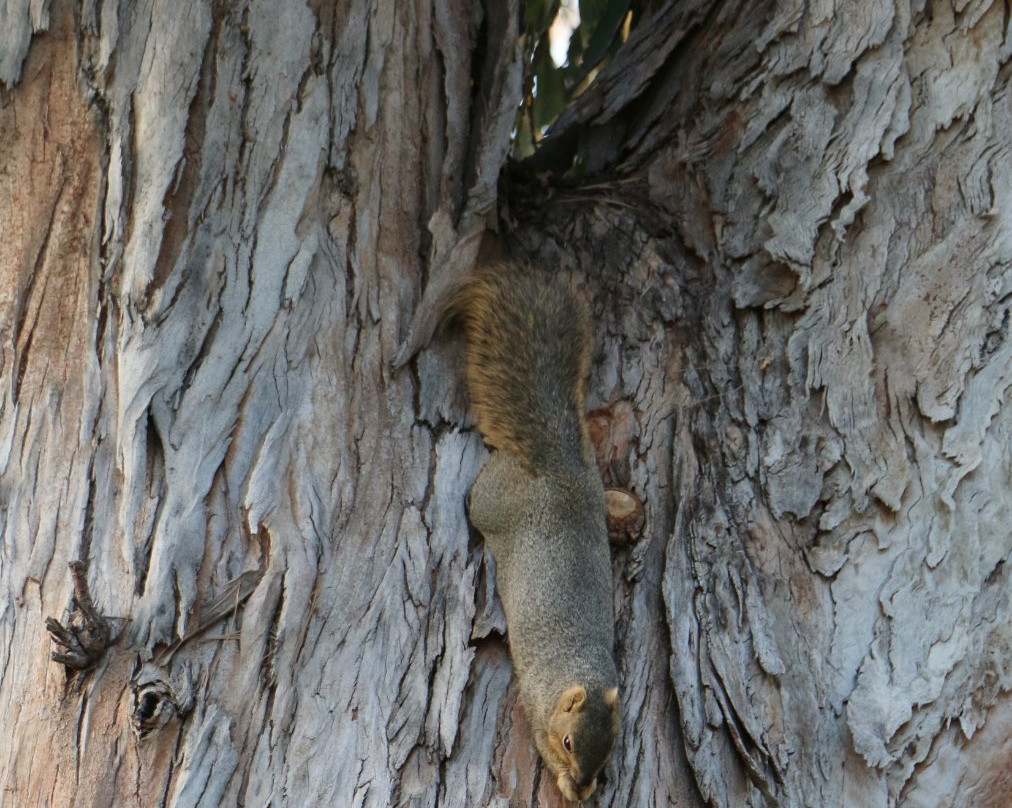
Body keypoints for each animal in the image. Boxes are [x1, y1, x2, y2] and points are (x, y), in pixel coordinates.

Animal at [449, 263, 619, 801]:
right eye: (567, 742)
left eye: (608, 750)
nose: (583, 786)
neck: (579, 663)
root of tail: (554, 462)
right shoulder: (537, 699)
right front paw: (564, 784)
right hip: (494, 501)